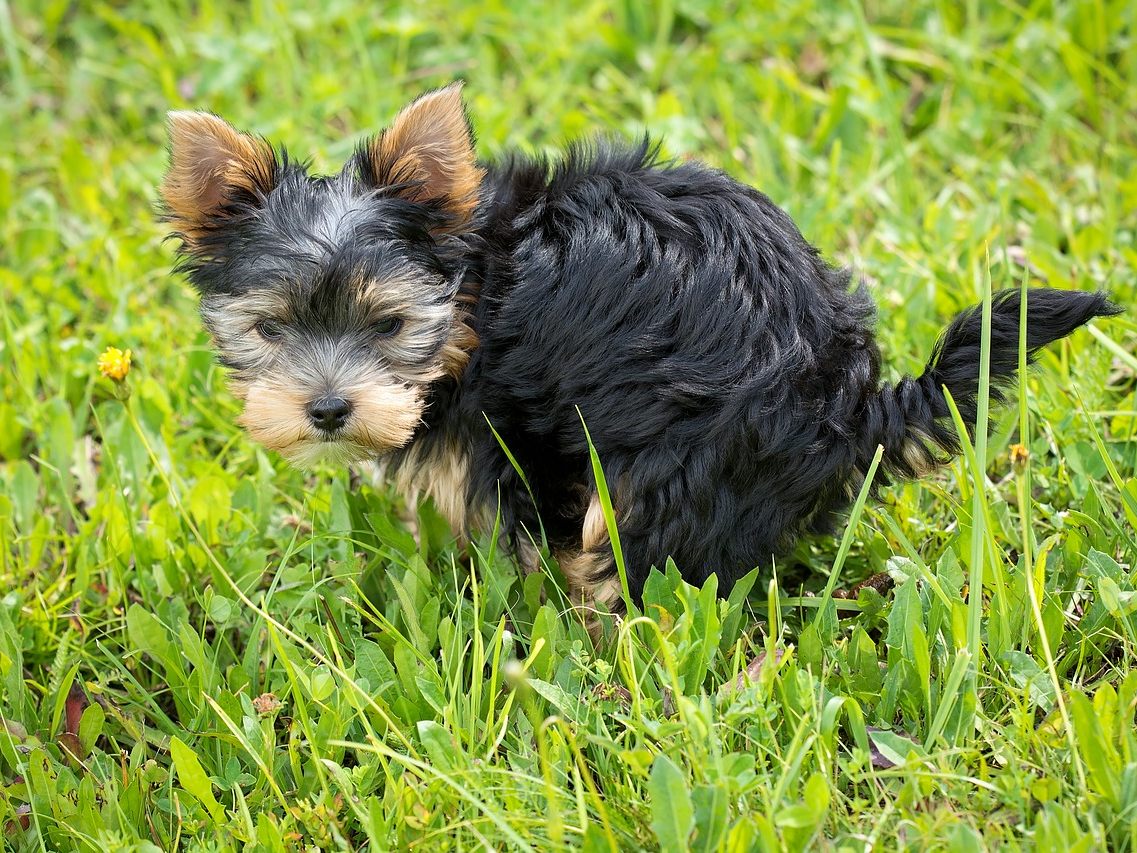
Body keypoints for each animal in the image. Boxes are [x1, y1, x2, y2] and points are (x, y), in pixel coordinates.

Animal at [160, 83, 1118, 623]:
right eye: (271, 329)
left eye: (389, 326)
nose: (327, 409)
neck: (475, 290)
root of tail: (851, 401)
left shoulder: (516, 433)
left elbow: (521, 528)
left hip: (679, 460)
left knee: (635, 556)